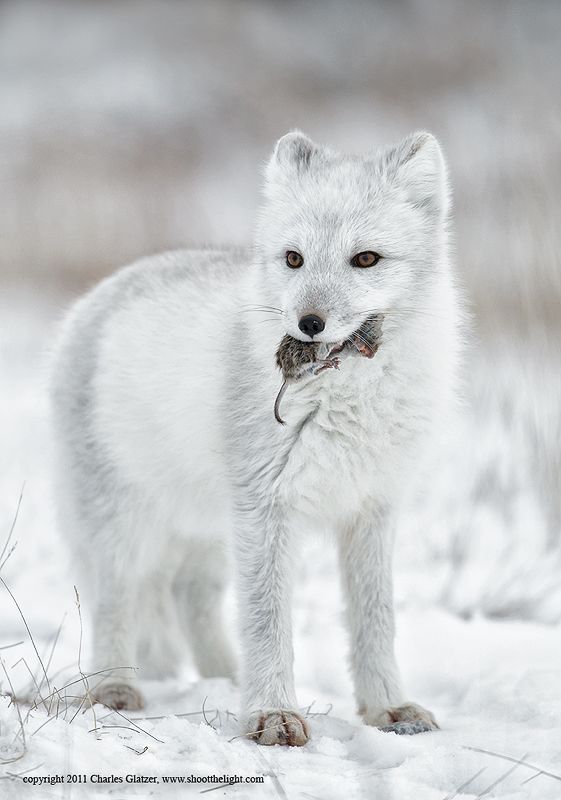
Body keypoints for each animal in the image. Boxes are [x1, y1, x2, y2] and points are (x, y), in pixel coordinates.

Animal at [49, 130, 460, 744]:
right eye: (294, 258)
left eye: (366, 259)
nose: (308, 324)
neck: (345, 397)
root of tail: (104, 289)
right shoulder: (267, 507)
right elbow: (267, 620)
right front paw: (271, 714)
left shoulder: (371, 508)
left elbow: (376, 618)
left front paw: (389, 708)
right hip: (125, 523)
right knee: (116, 597)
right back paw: (115, 689)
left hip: (213, 526)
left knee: (189, 592)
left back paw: (223, 678)